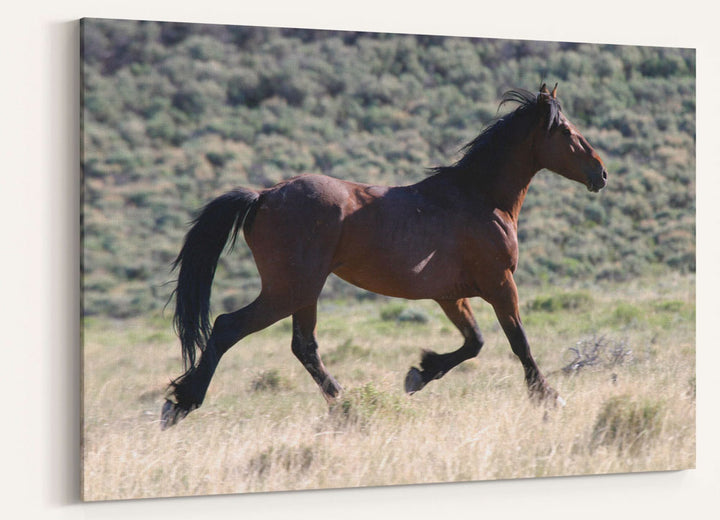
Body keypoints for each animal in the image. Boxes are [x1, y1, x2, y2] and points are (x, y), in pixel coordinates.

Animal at [162, 83, 608, 428]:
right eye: (566, 130)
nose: (601, 173)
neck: (479, 198)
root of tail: (263, 196)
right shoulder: (500, 284)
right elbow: (519, 342)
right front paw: (548, 397)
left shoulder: (451, 295)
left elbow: (474, 342)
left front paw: (420, 373)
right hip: (289, 290)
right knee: (227, 327)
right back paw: (181, 403)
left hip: (303, 293)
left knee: (304, 347)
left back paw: (346, 406)